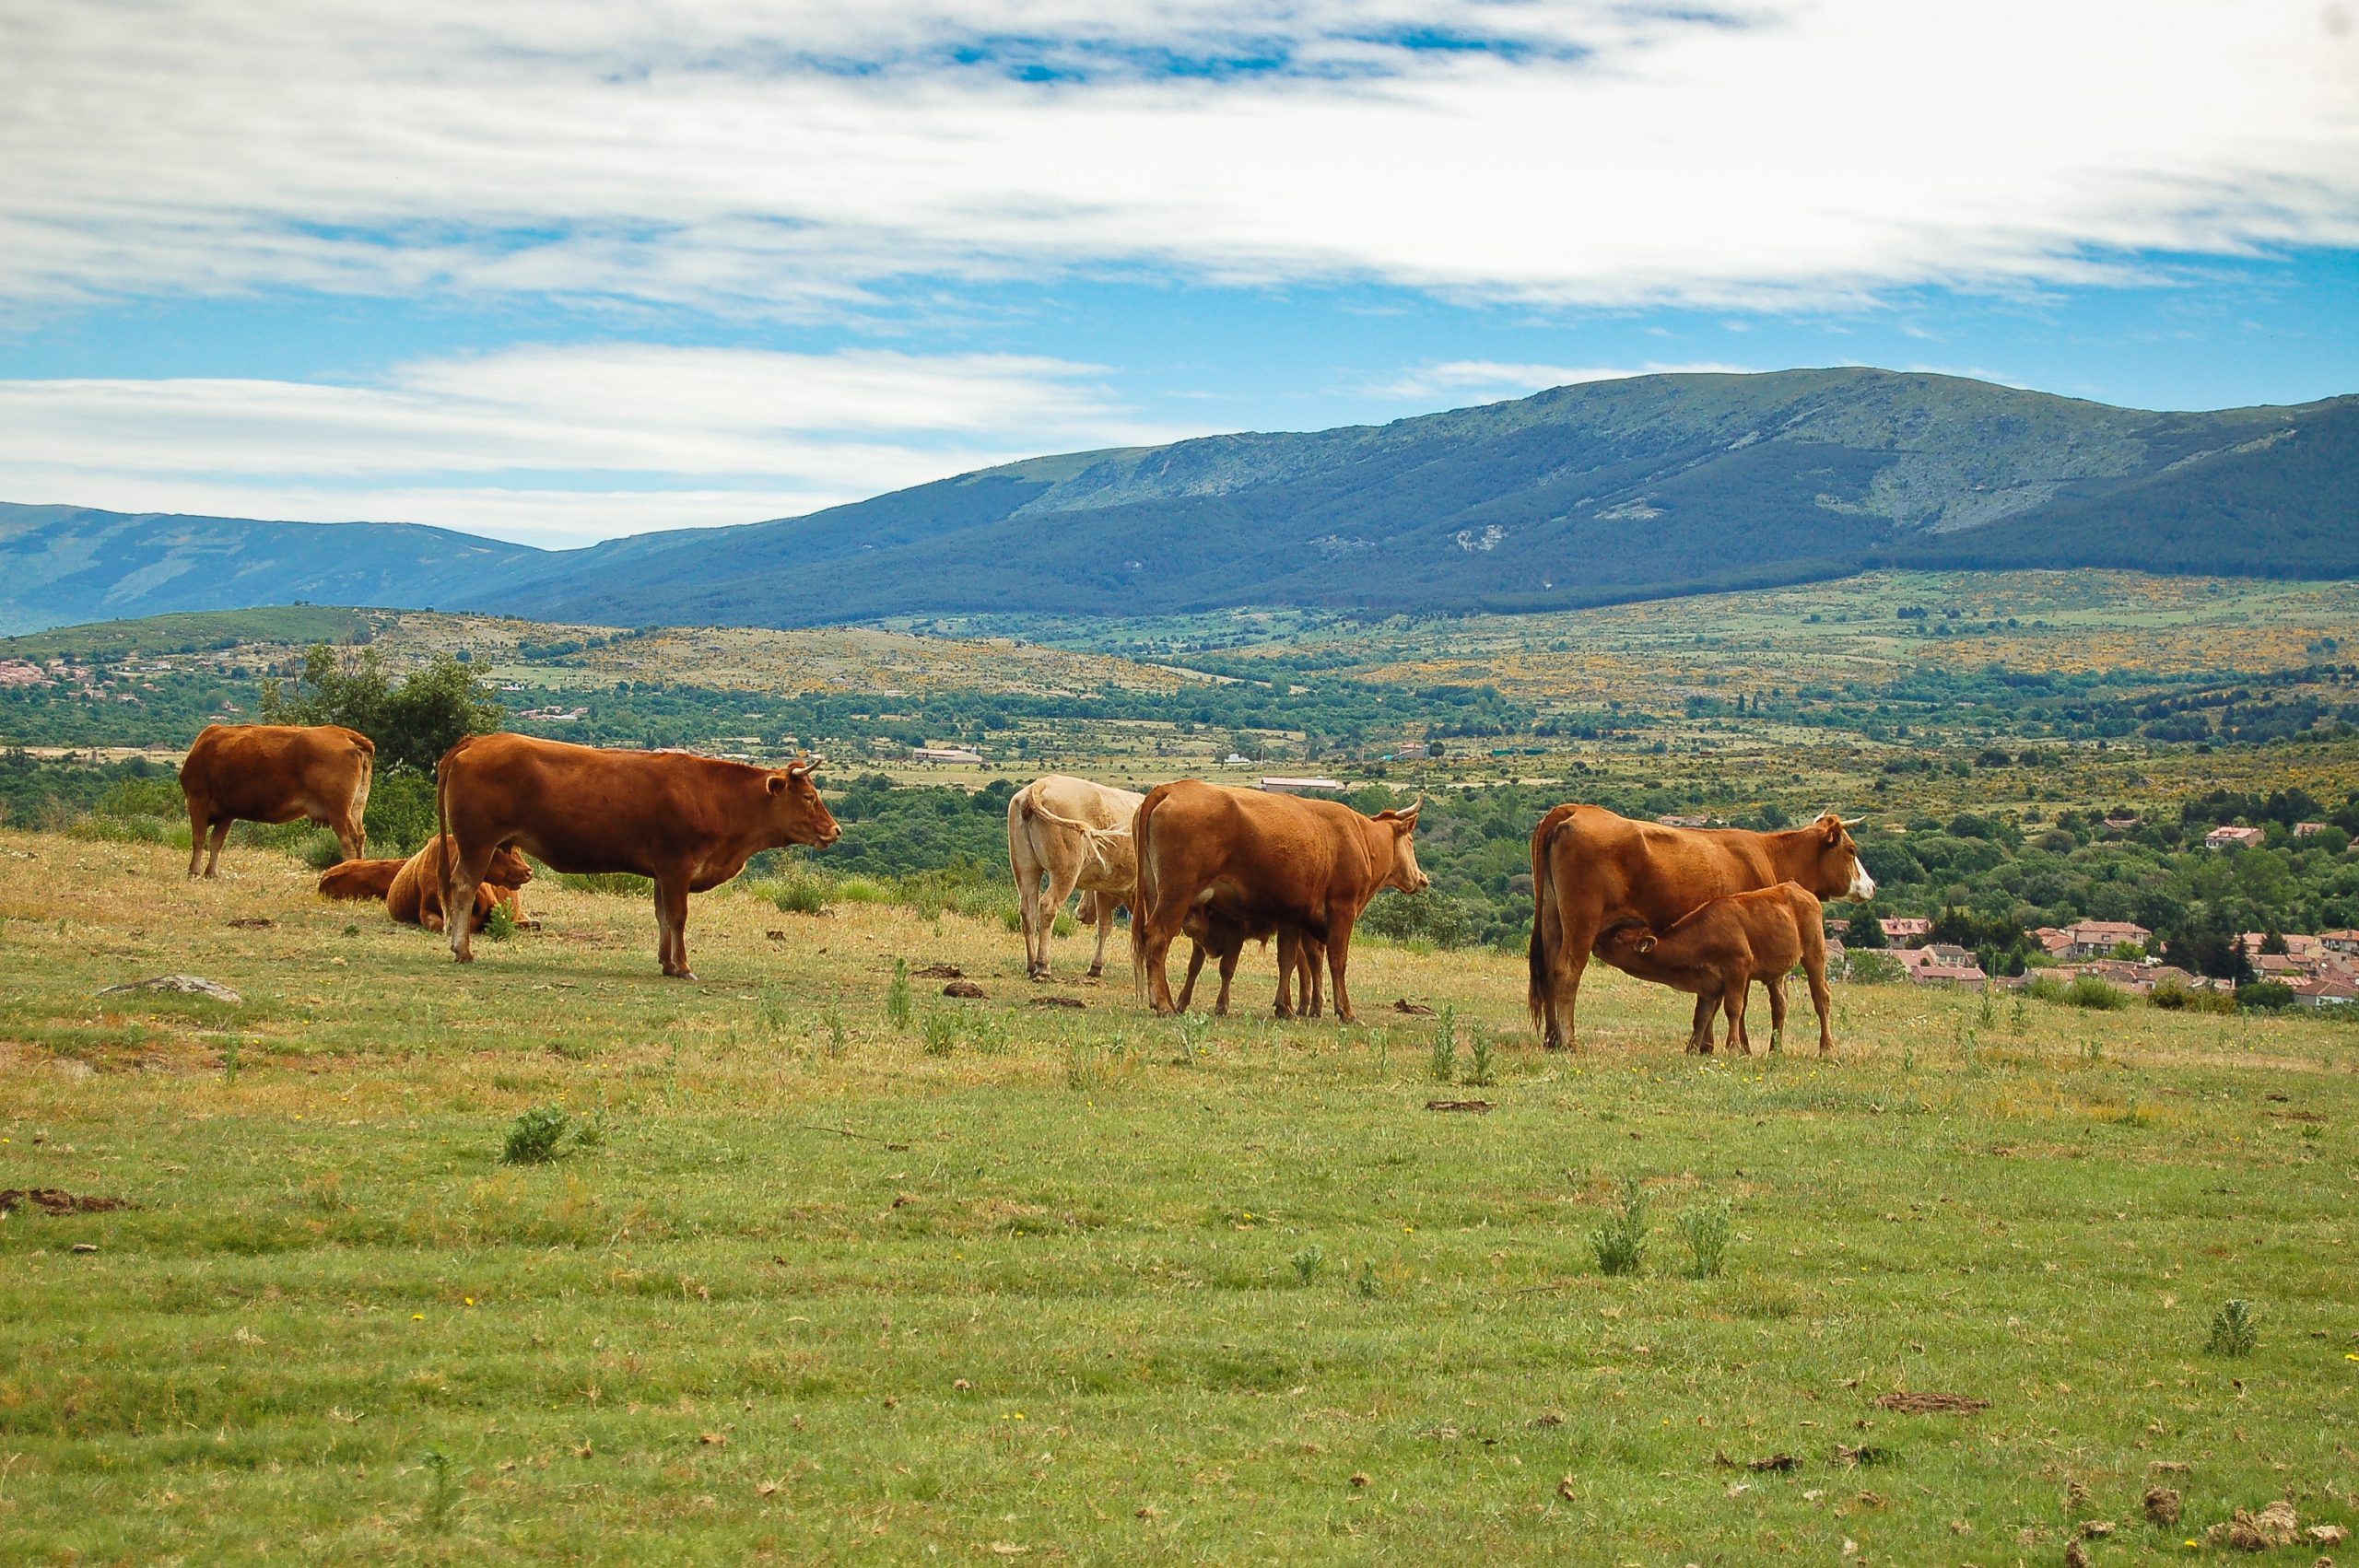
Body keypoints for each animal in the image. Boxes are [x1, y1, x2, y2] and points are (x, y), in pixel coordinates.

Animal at [180, 723, 374, 877]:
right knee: (360, 836)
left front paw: (193, 871)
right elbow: (216, 843)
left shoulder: (198, 800)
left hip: (338, 810)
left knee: (348, 839)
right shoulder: (226, 813)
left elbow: (198, 839)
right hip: (356, 806)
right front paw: (211, 873)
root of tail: (345, 734)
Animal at [435, 734, 838, 977]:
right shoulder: (677, 867)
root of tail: (476, 742)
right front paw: (683, 966)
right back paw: (463, 949)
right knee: (463, 887)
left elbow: (662, 917)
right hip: (478, 843)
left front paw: (666, 963)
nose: (835, 830)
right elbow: (677, 917)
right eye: (808, 797)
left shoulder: (662, 872)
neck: (716, 797)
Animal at [1008, 775, 1141, 979]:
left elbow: (1105, 926)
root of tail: (1042, 783)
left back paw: (1031, 965)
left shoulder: (1104, 890)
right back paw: (1043, 965)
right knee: (1048, 906)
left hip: (1025, 869)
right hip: (1065, 871)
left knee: (1027, 911)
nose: (1081, 913)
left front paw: (1096, 966)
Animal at [1131, 778, 1427, 1023]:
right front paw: (1346, 1011)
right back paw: (1163, 1005)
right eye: (1411, 841)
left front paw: (1285, 1007)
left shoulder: (1292, 917)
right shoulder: (1343, 908)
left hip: (1155, 894)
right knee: (1158, 937)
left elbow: (1288, 959)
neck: (1360, 838)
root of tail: (1171, 788)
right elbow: (1337, 960)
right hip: (1176, 895)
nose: (1422, 879)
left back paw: (1169, 1002)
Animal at [1594, 883, 1835, 1056]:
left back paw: (1826, 1048)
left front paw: (1733, 1048)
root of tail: (1798, 888)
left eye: (1618, 936)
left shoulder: (1738, 968)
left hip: (1815, 954)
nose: (1594, 944)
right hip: (1776, 972)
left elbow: (1733, 1008)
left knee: (1821, 998)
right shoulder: (1707, 983)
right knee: (1779, 1006)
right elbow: (1701, 1016)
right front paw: (1692, 1049)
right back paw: (1775, 1050)